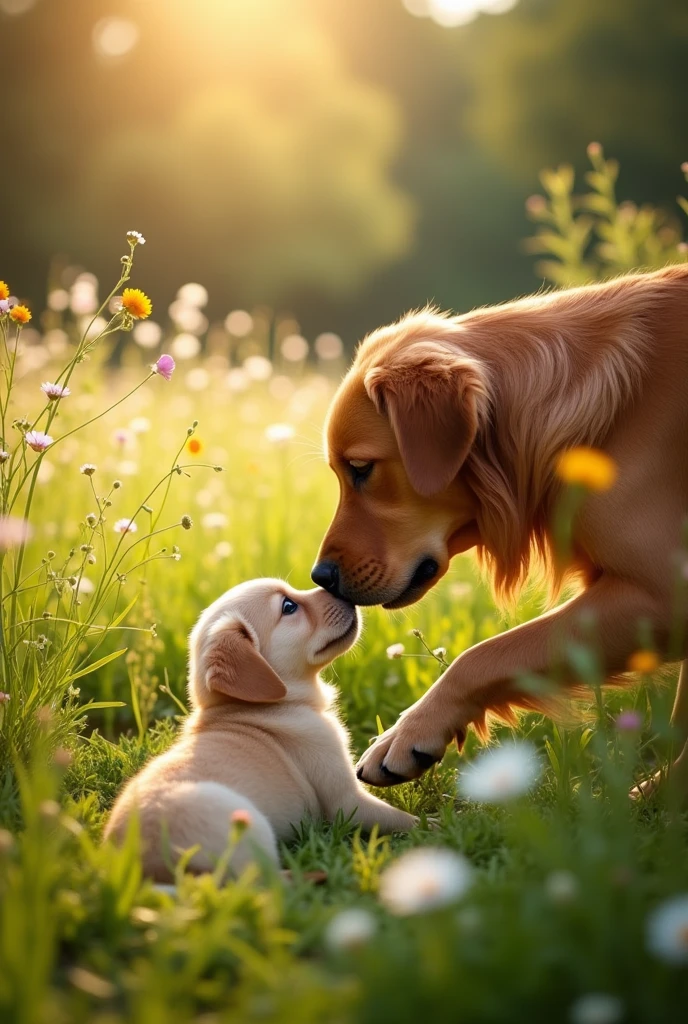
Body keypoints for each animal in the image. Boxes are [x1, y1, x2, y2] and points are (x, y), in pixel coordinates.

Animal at [103, 581, 415, 876]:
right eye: (288, 607)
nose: (344, 592)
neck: (254, 708)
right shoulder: (347, 801)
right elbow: (403, 819)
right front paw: (426, 826)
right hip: (248, 824)